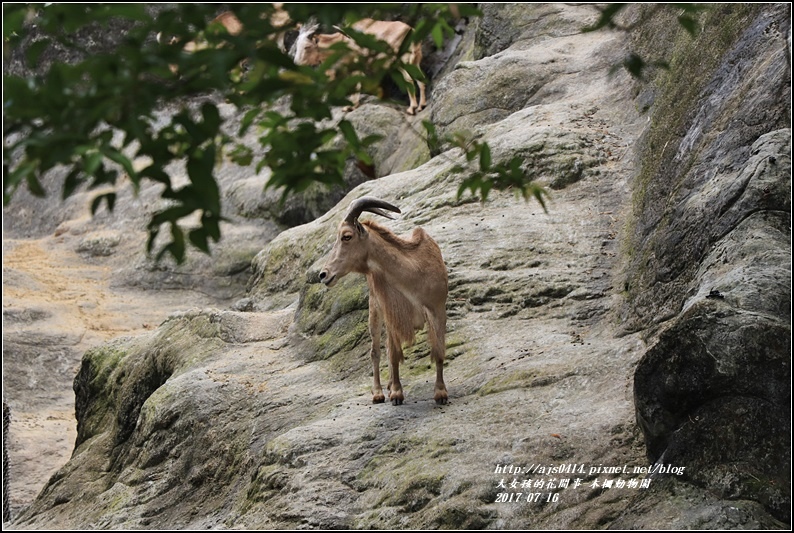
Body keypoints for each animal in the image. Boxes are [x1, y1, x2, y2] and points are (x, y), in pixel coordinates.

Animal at [292, 19, 426, 114]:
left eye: (307, 46)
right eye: (297, 45)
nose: (296, 64)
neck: (341, 42)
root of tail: (411, 30)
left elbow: (355, 85)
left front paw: (351, 106)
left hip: (400, 62)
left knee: (409, 79)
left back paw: (412, 108)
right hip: (414, 61)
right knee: (421, 80)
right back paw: (421, 106)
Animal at [320, 196, 446, 404]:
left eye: (346, 236)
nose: (323, 274)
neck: (413, 274)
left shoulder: (437, 310)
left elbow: (439, 350)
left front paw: (441, 393)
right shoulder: (391, 313)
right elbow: (392, 355)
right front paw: (396, 393)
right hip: (374, 309)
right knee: (376, 351)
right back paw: (379, 392)